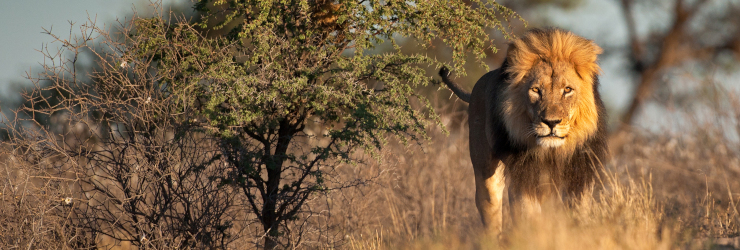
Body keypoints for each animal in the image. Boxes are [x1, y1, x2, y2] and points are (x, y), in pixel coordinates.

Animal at [440, 28, 608, 235]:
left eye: (567, 90)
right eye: (536, 90)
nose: (551, 122)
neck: (552, 152)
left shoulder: (578, 177)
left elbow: (577, 215)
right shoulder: (525, 178)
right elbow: (529, 218)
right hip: (485, 170)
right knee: (491, 208)